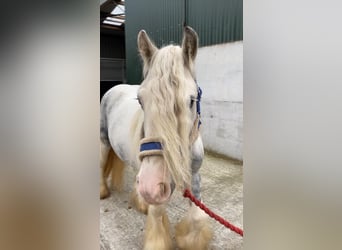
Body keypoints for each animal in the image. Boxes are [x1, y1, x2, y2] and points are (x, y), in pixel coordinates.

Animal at [99, 26, 211, 249]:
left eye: (191, 101)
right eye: (140, 100)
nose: (150, 186)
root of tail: (113, 88)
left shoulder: (193, 175)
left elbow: (196, 214)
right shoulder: (157, 189)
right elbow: (157, 216)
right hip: (104, 142)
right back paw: (103, 192)